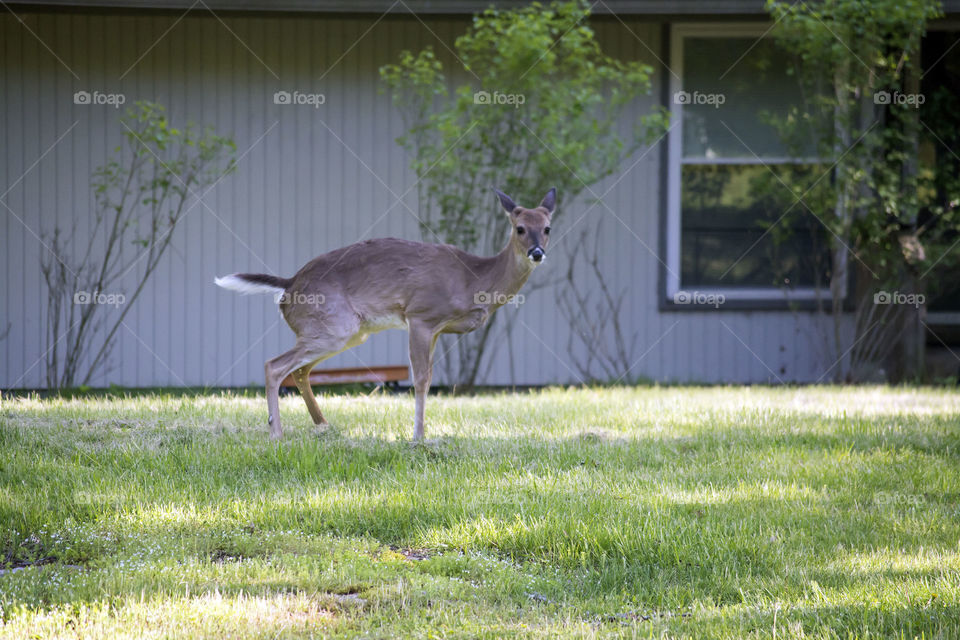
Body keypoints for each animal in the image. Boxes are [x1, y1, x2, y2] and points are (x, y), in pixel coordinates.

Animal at [215, 187, 555, 441]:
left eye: (547, 228)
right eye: (519, 228)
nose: (537, 252)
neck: (473, 280)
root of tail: (288, 286)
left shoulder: (437, 329)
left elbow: (427, 377)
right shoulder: (420, 315)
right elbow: (421, 379)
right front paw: (418, 437)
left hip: (345, 332)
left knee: (299, 371)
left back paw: (323, 425)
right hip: (334, 325)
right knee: (274, 365)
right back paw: (277, 433)